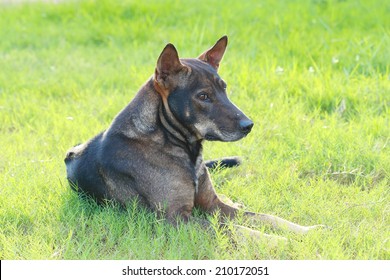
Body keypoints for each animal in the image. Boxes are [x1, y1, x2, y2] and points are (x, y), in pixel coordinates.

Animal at [65, 36, 322, 242]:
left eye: (224, 88)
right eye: (203, 96)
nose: (249, 125)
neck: (176, 144)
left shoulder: (213, 205)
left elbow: (265, 217)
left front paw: (306, 231)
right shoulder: (176, 219)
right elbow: (236, 229)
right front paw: (280, 242)